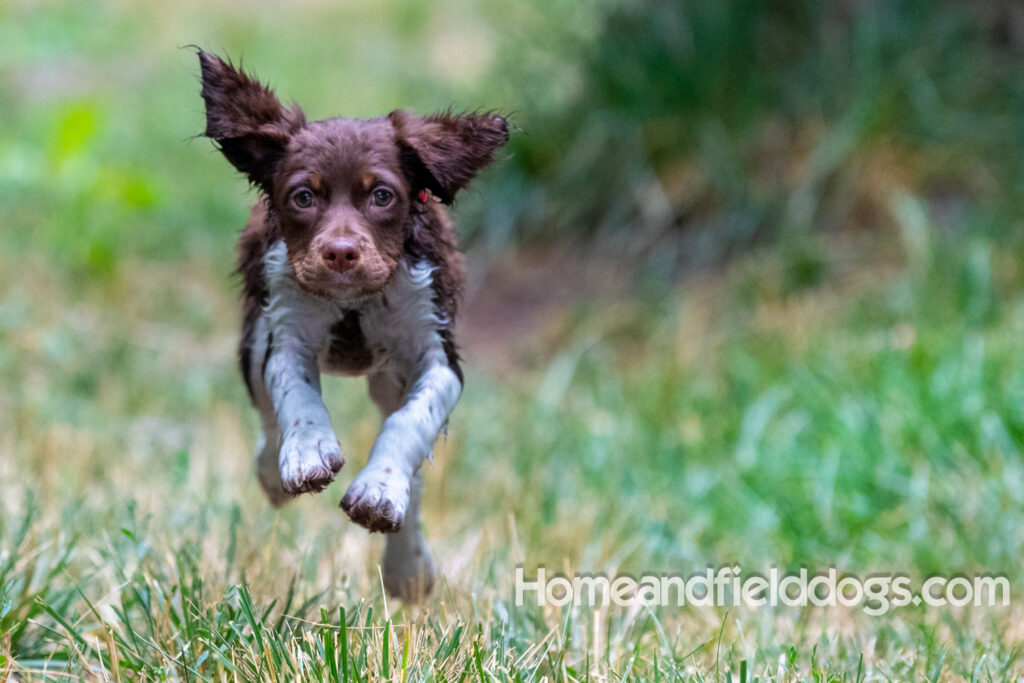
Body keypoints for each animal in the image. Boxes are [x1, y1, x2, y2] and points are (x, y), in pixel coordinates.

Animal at [195, 50, 507, 602]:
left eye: (382, 196)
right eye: (303, 197)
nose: (340, 253)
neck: (355, 304)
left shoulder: (436, 352)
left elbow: (410, 422)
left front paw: (378, 491)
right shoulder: (286, 328)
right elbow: (295, 395)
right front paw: (306, 453)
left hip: (390, 378)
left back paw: (406, 565)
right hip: (253, 336)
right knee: (266, 412)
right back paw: (273, 471)